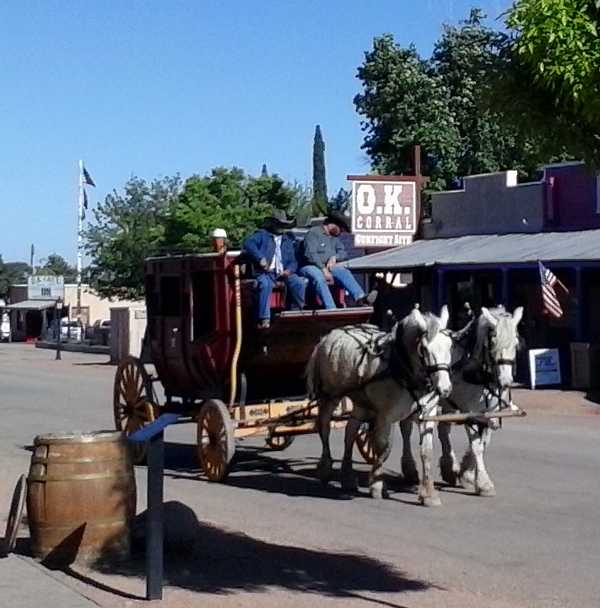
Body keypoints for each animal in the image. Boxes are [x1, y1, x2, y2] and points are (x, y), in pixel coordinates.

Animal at [308, 306, 452, 506]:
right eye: (424, 349)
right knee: (325, 428)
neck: (402, 368)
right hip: (330, 396)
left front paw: (429, 494)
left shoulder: (427, 415)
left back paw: (347, 476)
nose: (445, 389)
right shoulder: (385, 416)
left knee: (350, 432)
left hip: (361, 402)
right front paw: (377, 485)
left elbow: (427, 452)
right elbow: (384, 447)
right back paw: (325, 468)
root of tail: (327, 337)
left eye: (450, 346)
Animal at [400, 306, 524, 496]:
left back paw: (449, 468)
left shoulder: (488, 413)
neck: (478, 372)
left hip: (447, 404)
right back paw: (410, 469)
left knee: (444, 430)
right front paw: (483, 483)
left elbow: (484, 443)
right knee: (406, 429)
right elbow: (477, 446)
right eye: (494, 342)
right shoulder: (470, 412)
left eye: (516, 344)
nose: (506, 381)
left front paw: (467, 472)